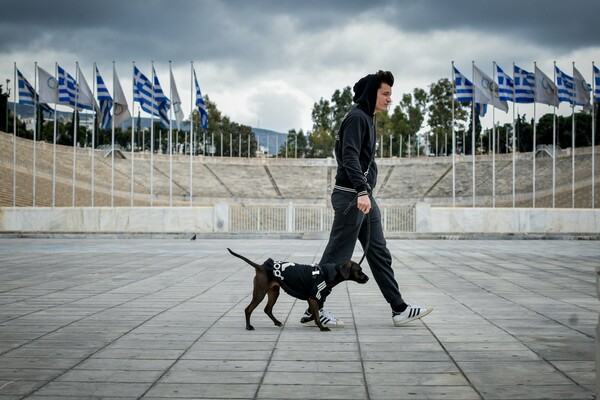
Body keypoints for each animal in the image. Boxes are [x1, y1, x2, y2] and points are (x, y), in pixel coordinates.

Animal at [227, 250, 368, 332]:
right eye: (359, 270)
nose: (367, 278)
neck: (329, 273)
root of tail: (261, 267)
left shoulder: (313, 298)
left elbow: (314, 313)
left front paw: (306, 320)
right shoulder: (313, 297)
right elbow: (316, 315)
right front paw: (322, 327)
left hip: (274, 292)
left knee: (267, 309)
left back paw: (277, 322)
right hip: (260, 293)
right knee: (248, 309)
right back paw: (248, 327)